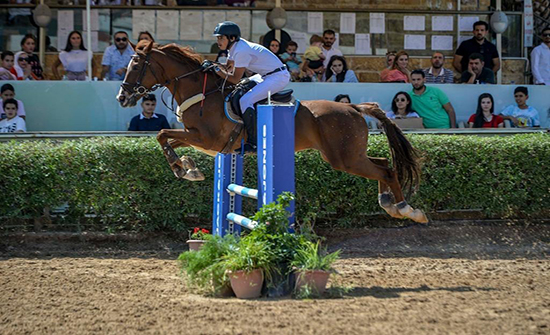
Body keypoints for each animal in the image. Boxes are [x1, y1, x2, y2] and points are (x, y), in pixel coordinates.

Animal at [116, 42, 432, 226]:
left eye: (136, 66)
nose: (122, 97)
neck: (202, 91)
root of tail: (352, 107)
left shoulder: (206, 138)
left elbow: (162, 133)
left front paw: (185, 169)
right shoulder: (199, 139)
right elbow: (164, 136)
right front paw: (187, 167)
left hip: (344, 158)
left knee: (386, 169)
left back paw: (407, 209)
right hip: (348, 155)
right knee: (383, 163)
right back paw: (390, 204)